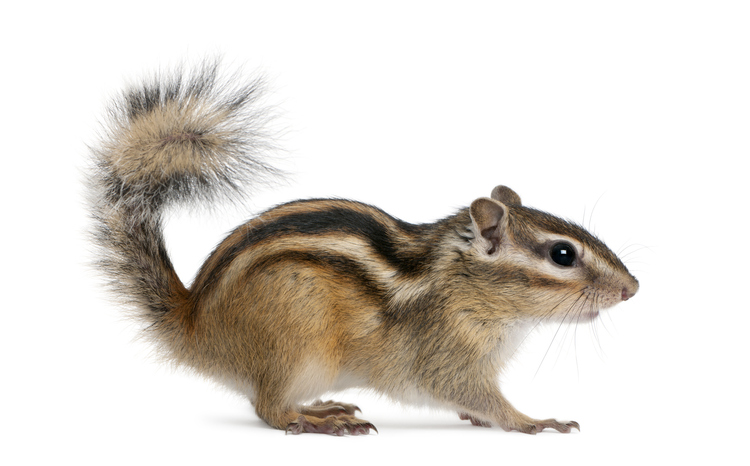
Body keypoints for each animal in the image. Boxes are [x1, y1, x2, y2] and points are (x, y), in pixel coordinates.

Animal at [87, 61, 639, 436]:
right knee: (269, 410)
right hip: (296, 343)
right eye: (563, 254)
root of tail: (192, 325)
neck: (462, 283)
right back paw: (321, 420)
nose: (633, 289)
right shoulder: (447, 354)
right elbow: (475, 394)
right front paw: (533, 421)